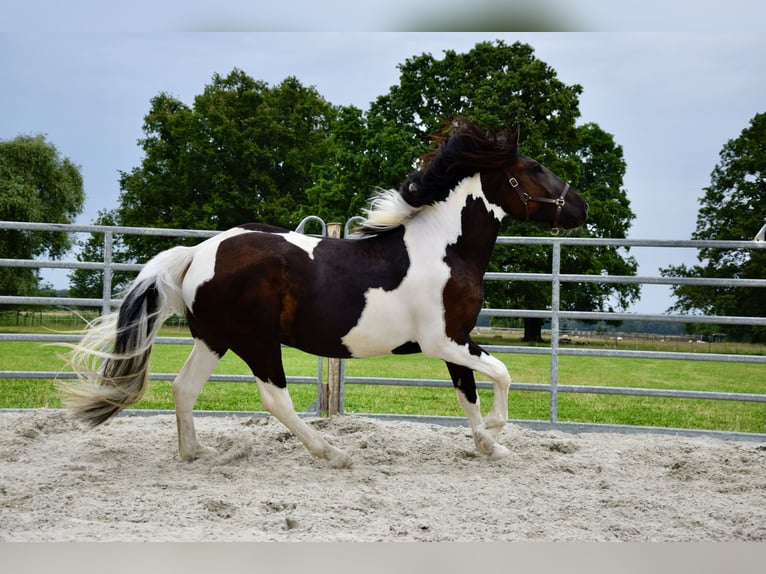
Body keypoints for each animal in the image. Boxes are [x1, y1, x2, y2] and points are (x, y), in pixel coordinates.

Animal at [66, 120, 592, 468]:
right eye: (535, 167)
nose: (582, 206)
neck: (445, 248)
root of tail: (198, 253)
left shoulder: (456, 341)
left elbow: (469, 395)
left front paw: (490, 444)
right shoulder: (443, 340)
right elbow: (501, 374)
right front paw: (498, 430)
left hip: (215, 339)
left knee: (184, 388)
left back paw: (197, 452)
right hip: (257, 343)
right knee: (275, 399)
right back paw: (332, 453)